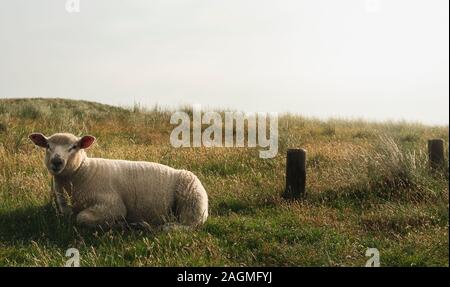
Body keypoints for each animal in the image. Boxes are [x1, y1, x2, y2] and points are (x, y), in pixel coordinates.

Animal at [29, 132, 208, 231]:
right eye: (47, 145)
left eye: (74, 147)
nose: (56, 162)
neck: (82, 172)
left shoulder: (112, 206)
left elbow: (81, 218)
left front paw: (119, 225)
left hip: (191, 199)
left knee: (191, 224)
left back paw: (160, 227)